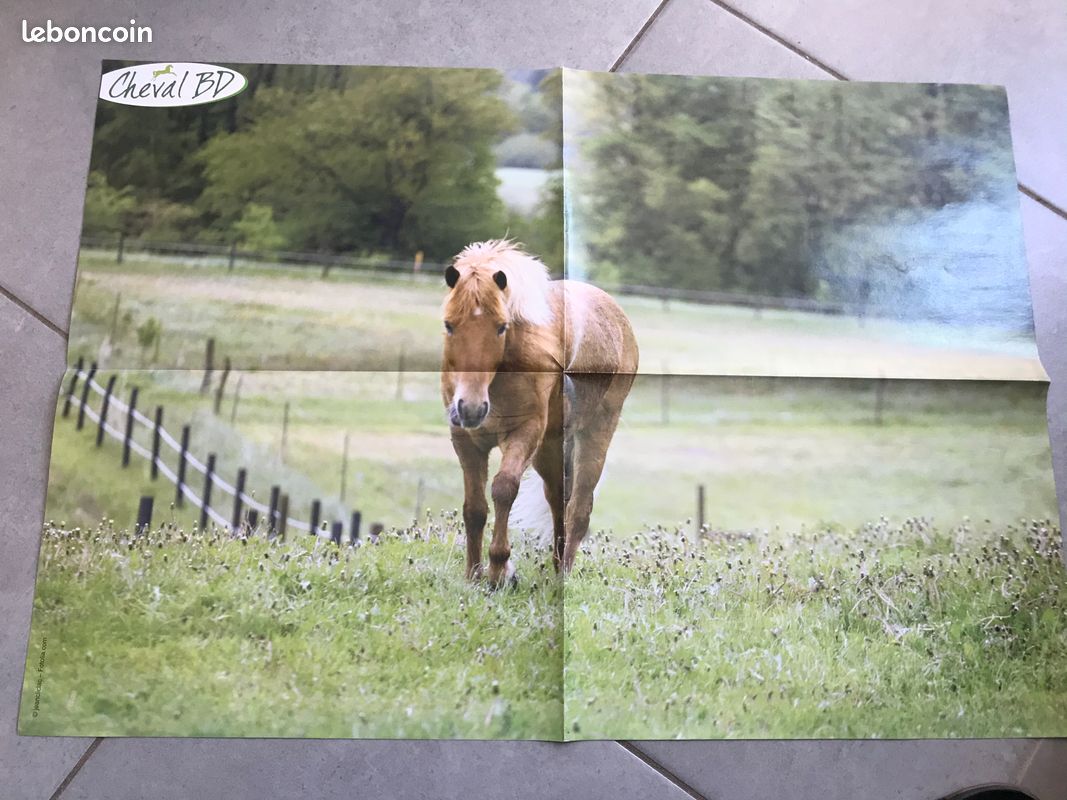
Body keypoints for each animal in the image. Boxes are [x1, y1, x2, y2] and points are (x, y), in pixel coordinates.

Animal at [440, 240, 638, 587]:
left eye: (501, 327)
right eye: (449, 325)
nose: (471, 407)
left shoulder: (525, 433)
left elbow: (504, 489)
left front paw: (499, 570)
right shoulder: (465, 439)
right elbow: (474, 508)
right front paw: (473, 575)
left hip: (595, 432)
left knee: (579, 507)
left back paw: (564, 574)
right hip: (550, 448)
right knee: (558, 498)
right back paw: (557, 568)